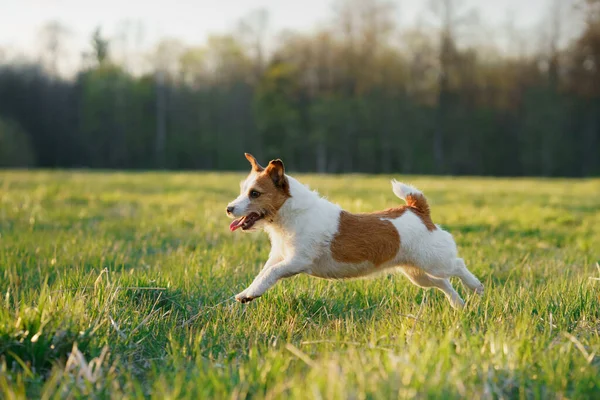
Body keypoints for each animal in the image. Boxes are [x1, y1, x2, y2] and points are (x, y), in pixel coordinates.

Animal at [225, 154, 482, 310]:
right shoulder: (279, 257)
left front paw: (250, 293)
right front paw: (248, 293)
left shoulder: (297, 260)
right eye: (242, 190)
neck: (290, 214)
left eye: (255, 194)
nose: (229, 209)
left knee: (457, 266)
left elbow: (271, 273)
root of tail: (417, 210)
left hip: (435, 261)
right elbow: (263, 274)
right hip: (417, 274)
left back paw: (476, 287)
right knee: (443, 283)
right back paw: (458, 304)